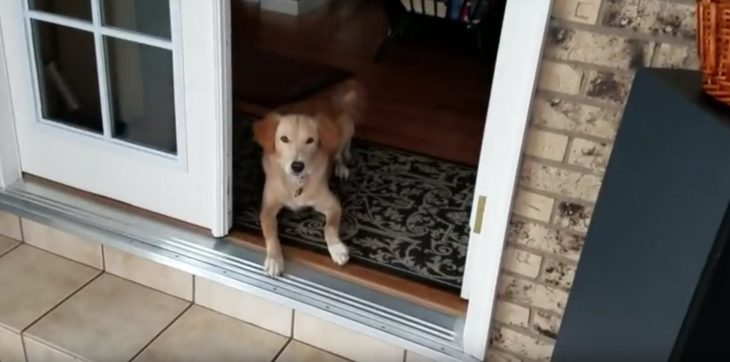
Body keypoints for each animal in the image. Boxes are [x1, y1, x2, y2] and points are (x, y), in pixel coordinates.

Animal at [252, 80, 364, 276]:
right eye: (284, 139)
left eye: (310, 140)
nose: (297, 166)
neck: (295, 183)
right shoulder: (267, 209)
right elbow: (270, 233)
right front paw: (274, 258)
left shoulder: (333, 205)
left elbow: (329, 227)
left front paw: (336, 248)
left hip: (345, 127)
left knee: (341, 150)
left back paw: (341, 166)